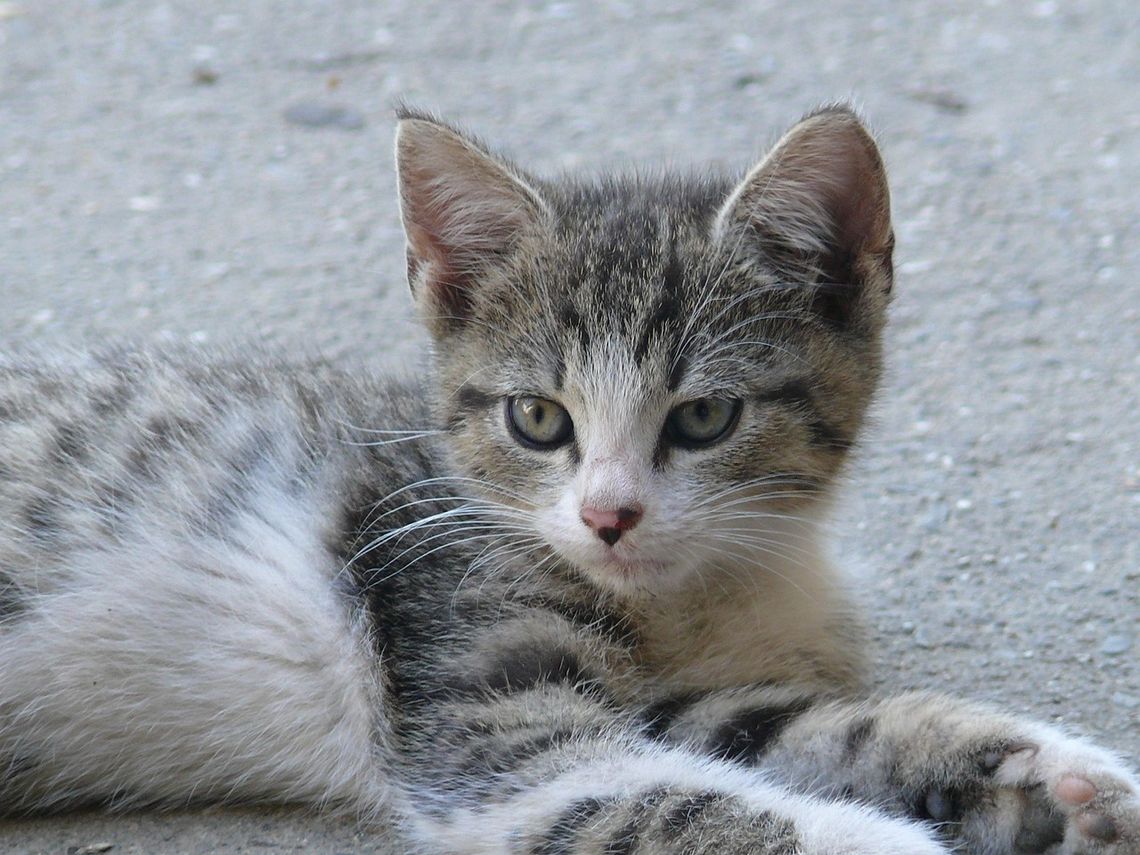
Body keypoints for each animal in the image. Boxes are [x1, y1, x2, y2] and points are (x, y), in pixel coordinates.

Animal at [2, 108, 1140, 855]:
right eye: (538, 419)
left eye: (705, 417)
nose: (608, 515)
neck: (696, 594)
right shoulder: (480, 713)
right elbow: (680, 798)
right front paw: (889, 840)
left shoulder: (682, 702)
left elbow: (807, 728)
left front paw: (1044, 771)